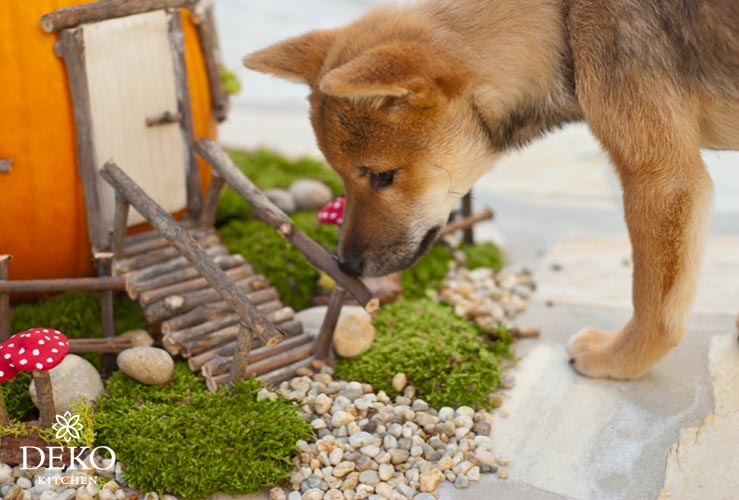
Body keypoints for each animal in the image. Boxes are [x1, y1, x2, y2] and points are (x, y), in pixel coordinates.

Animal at [244, 0, 739, 378]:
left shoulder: (661, 178)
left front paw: (618, 359)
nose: (346, 265)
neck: (561, 21)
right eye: (343, 176)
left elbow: (654, 306)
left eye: (382, 176)